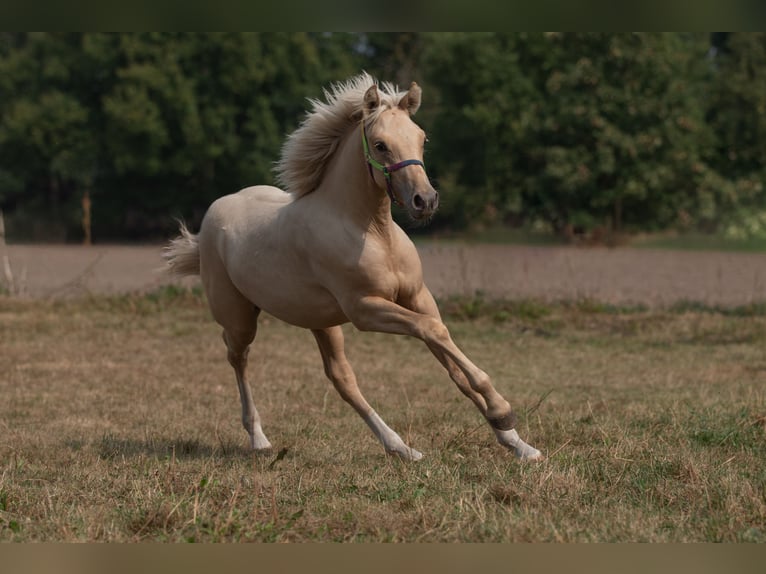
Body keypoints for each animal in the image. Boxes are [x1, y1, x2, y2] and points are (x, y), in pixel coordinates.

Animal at [164, 74, 544, 466]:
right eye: (380, 145)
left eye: (422, 138)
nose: (425, 201)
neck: (374, 233)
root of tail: (213, 216)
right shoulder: (365, 308)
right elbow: (433, 331)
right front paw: (503, 410)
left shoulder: (417, 297)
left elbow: (446, 352)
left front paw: (517, 442)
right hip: (240, 317)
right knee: (237, 355)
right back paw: (259, 438)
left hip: (321, 321)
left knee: (341, 379)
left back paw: (401, 447)